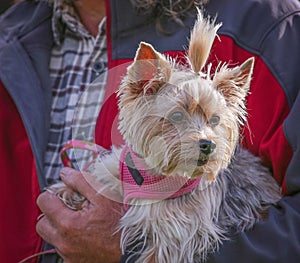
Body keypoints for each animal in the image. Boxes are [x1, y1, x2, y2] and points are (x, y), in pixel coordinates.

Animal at [49, 9, 282, 263]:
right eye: (177, 115)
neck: (156, 177)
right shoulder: (120, 170)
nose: (208, 144)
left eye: (215, 120)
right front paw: (66, 191)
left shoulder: (176, 236)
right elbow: (102, 176)